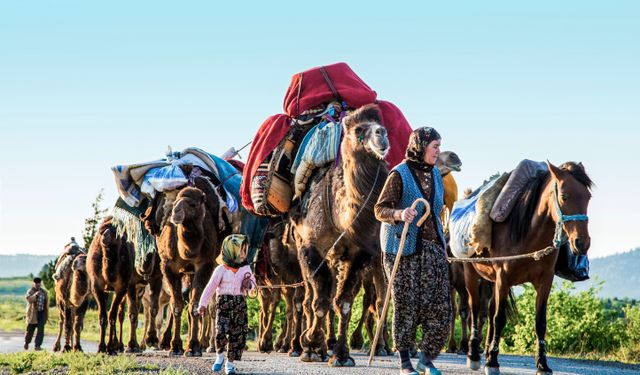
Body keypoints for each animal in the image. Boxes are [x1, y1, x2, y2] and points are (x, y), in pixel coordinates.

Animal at [87, 217, 142, 356]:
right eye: (101, 230)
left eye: (115, 231)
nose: (104, 237)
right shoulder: (97, 286)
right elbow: (102, 316)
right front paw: (101, 347)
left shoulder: (121, 287)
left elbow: (112, 315)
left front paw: (110, 348)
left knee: (118, 313)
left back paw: (119, 345)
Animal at [155, 176, 228, 358]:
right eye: (175, 202)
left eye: (193, 204)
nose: (175, 213)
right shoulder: (169, 266)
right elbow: (176, 307)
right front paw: (175, 347)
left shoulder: (204, 265)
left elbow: (195, 306)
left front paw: (193, 347)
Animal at [290, 103, 390, 368]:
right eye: (358, 130)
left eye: (382, 125)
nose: (382, 134)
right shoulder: (311, 246)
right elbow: (320, 301)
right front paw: (311, 346)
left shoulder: (361, 253)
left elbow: (343, 302)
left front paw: (341, 354)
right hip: (301, 245)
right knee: (309, 297)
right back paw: (302, 346)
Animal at [462, 162, 592, 375]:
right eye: (564, 196)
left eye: (588, 197)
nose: (582, 243)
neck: (528, 235)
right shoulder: (503, 278)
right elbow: (500, 319)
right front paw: (493, 362)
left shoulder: (544, 280)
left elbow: (540, 322)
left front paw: (542, 364)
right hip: (470, 273)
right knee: (475, 308)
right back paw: (474, 354)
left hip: (492, 281)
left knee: (488, 311)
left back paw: (487, 351)